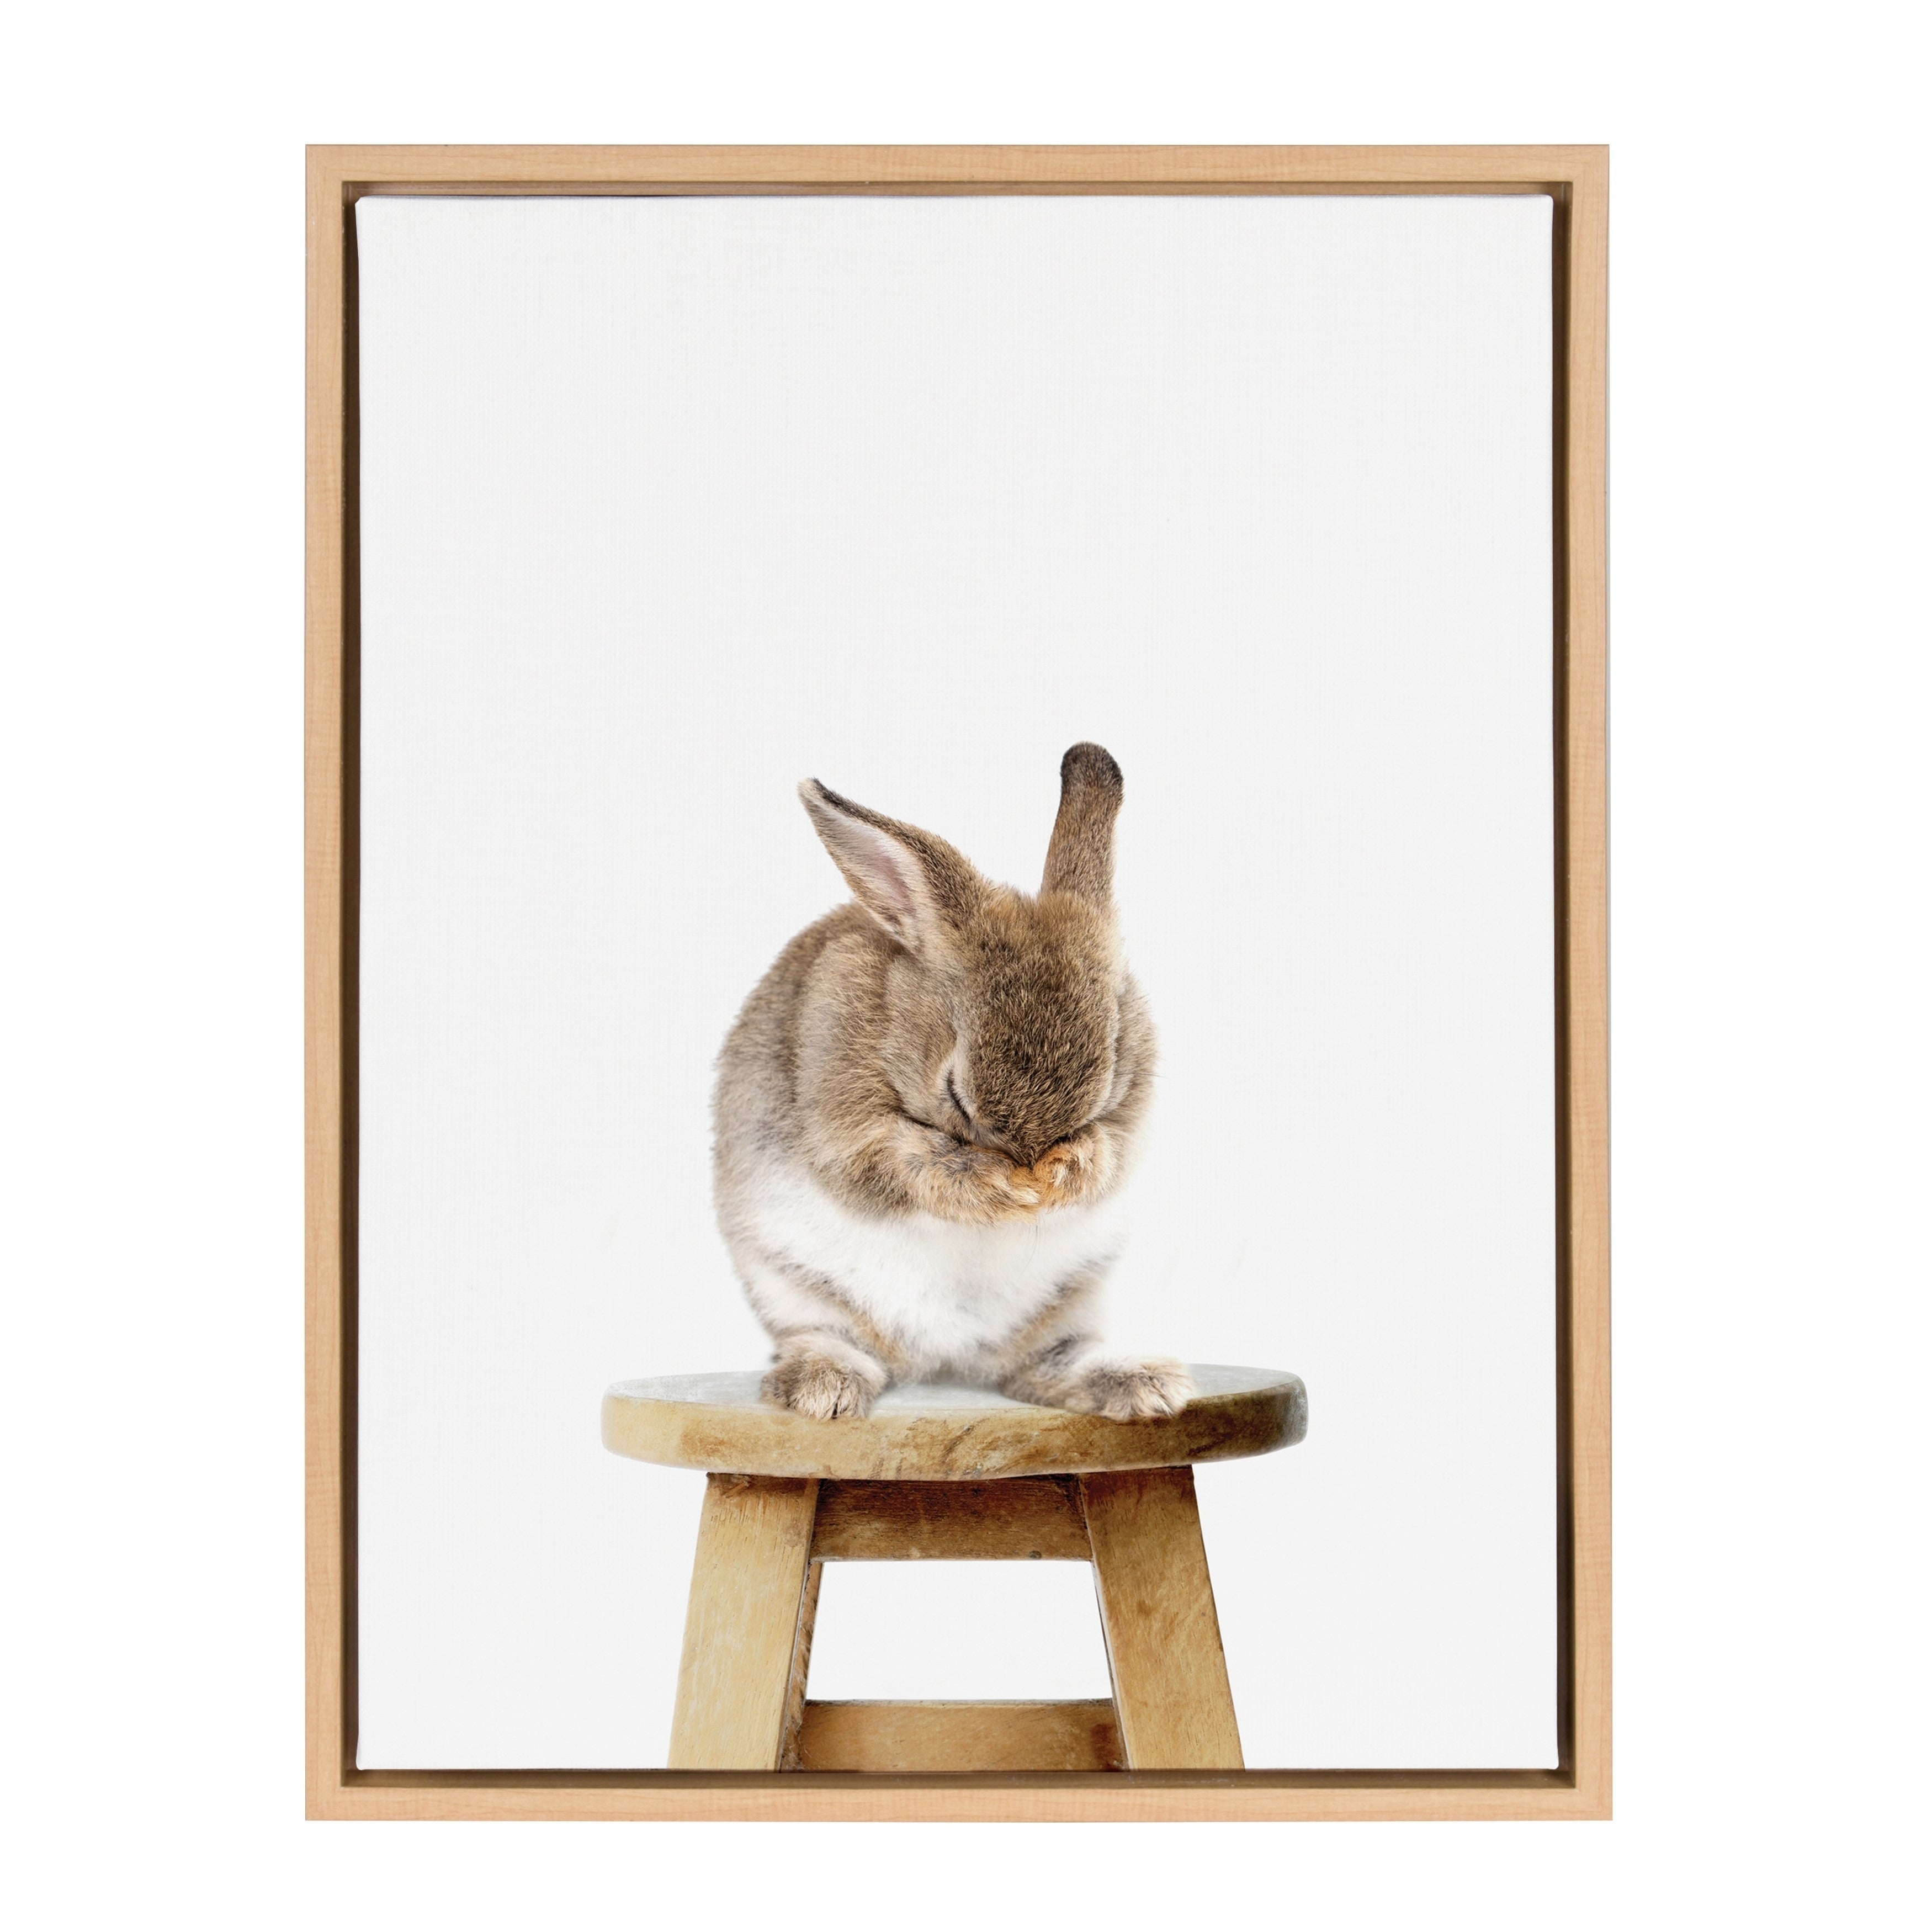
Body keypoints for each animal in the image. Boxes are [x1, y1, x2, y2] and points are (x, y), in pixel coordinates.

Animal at [712, 742, 1193, 1423]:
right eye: (955, 1095)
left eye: (1103, 1086)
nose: (1031, 1167)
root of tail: (945, 1359)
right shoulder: (844, 1123)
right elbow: (910, 1164)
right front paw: (1003, 1188)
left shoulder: (1131, 1117)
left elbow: (1111, 1152)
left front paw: (1065, 1172)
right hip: (795, 1289)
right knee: (830, 1340)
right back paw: (824, 1389)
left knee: (1047, 1366)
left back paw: (1146, 1385)